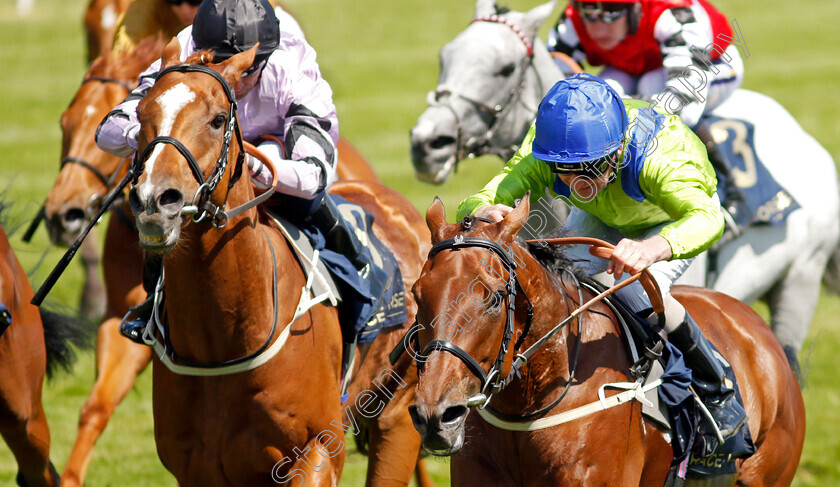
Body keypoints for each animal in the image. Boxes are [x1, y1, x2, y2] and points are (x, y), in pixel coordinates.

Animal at [123, 39, 434, 487]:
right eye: (142, 113)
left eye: (218, 120)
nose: (154, 201)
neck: (224, 341)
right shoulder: (197, 467)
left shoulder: (315, 452)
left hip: (396, 416)